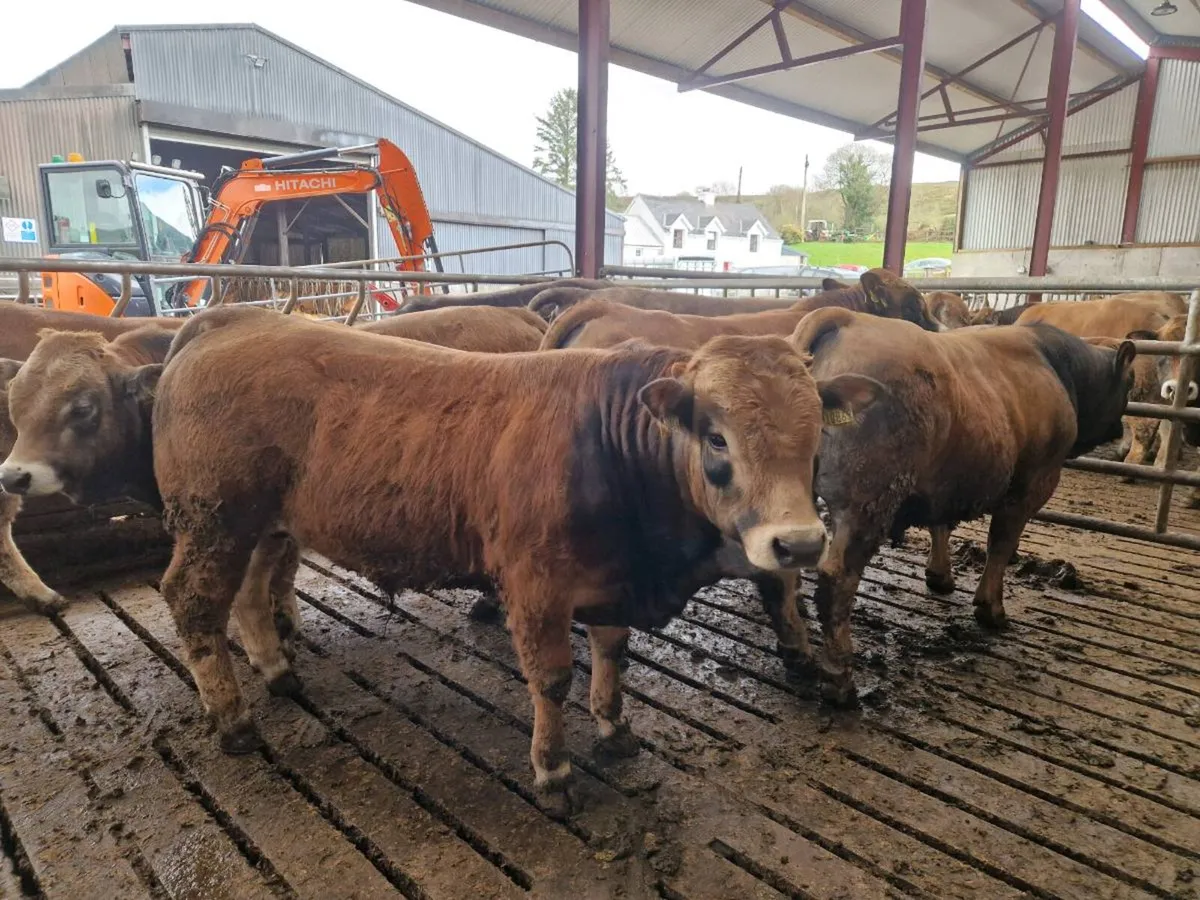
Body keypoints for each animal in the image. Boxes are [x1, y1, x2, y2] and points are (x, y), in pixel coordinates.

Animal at [787, 309, 1135, 705]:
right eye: (1130, 382)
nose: (1118, 430)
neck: (1056, 364)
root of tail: (846, 317)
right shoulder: (1033, 482)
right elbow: (1001, 545)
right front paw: (991, 609)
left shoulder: (947, 480)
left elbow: (942, 524)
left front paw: (940, 576)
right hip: (867, 502)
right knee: (837, 579)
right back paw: (840, 679)